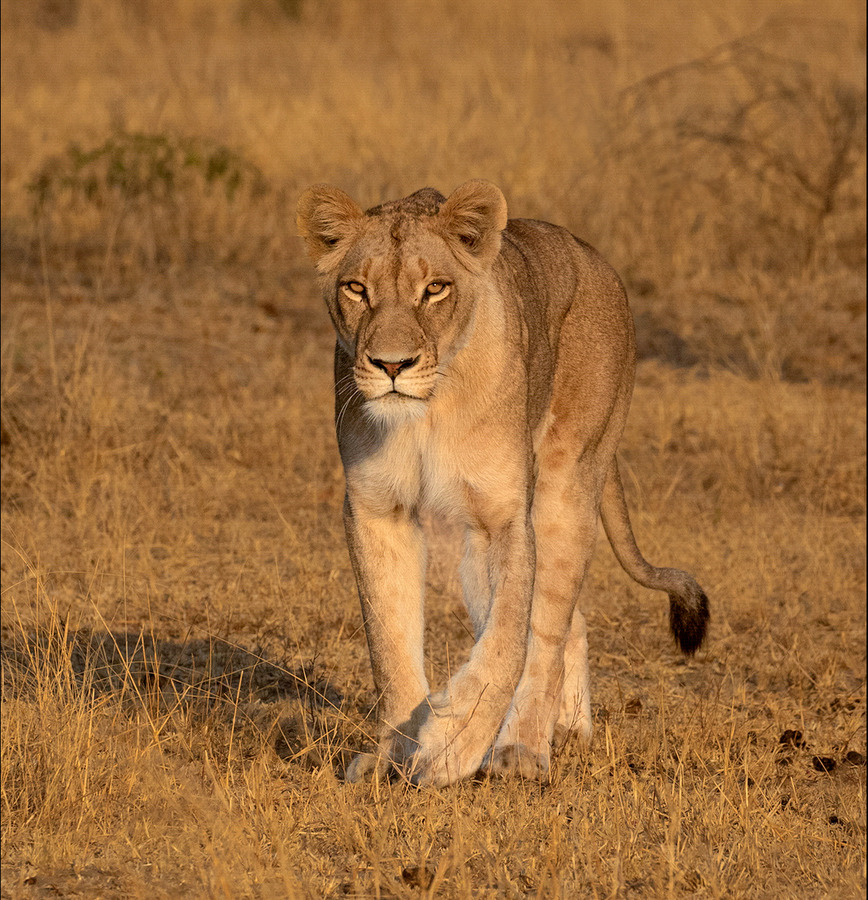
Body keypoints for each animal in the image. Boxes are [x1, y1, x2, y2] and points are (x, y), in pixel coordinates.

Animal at [296, 180, 709, 787]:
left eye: (435, 289)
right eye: (356, 288)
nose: (392, 365)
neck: (427, 412)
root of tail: (597, 258)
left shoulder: (503, 515)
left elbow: (509, 641)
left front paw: (450, 746)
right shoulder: (377, 510)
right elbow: (388, 644)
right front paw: (392, 754)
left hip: (567, 486)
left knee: (549, 625)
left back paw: (524, 749)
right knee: (567, 620)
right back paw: (567, 729)